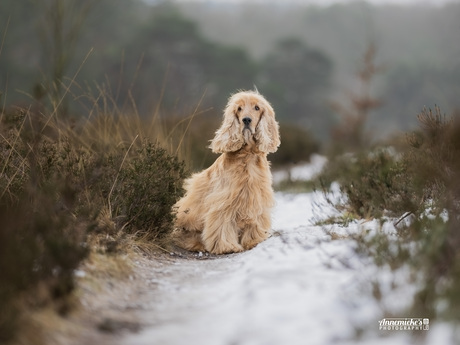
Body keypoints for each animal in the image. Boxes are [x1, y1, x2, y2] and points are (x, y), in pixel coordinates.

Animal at [172, 90, 280, 254]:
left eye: (256, 108)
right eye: (239, 109)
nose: (246, 120)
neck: (247, 155)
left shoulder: (257, 199)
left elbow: (254, 222)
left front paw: (253, 241)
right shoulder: (224, 201)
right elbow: (222, 224)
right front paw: (227, 246)